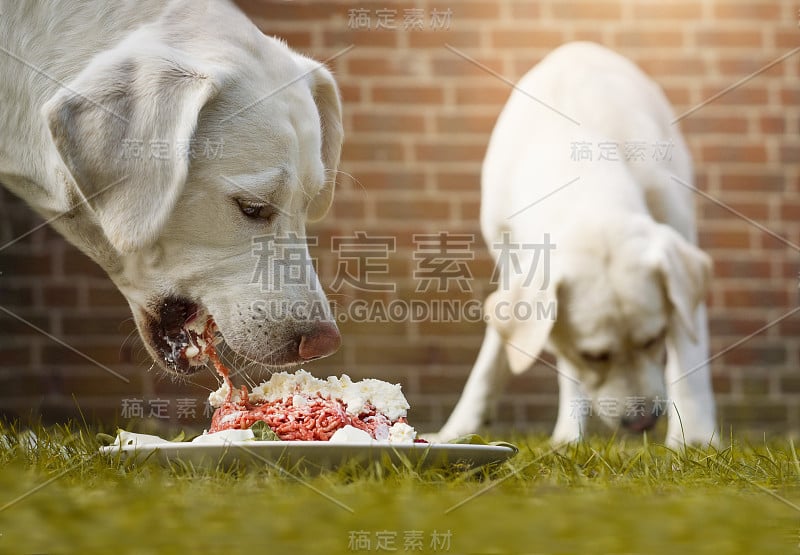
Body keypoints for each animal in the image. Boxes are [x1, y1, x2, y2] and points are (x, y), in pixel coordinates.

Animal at [438, 43, 720, 452]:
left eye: (653, 339)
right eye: (594, 355)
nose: (643, 422)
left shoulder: (678, 236)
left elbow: (689, 350)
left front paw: (695, 439)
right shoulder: (512, 262)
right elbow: (510, 355)